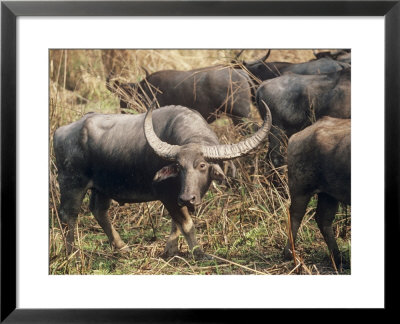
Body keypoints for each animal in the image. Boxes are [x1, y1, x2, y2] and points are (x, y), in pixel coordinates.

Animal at [53, 105, 272, 260]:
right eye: (179, 166)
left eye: (202, 165)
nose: (188, 198)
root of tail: (60, 132)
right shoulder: (168, 195)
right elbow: (186, 223)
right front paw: (198, 252)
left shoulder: (177, 197)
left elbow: (176, 222)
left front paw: (171, 250)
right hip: (71, 183)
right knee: (68, 214)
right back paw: (71, 253)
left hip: (103, 187)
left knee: (99, 210)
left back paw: (122, 247)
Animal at [284, 117, 350, 268]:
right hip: (300, 189)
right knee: (295, 215)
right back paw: (289, 254)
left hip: (329, 194)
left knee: (323, 219)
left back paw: (338, 259)